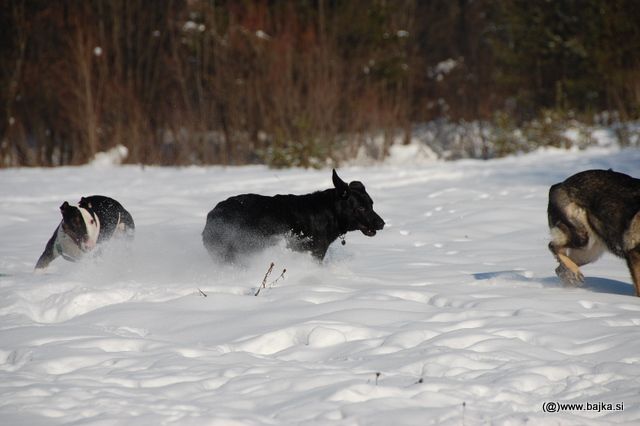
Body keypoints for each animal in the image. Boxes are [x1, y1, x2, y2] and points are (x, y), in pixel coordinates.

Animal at [204, 168, 384, 262]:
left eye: (371, 205)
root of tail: (212, 214)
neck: (330, 213)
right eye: (361, 208)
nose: (382, 223)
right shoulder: (315, 252)